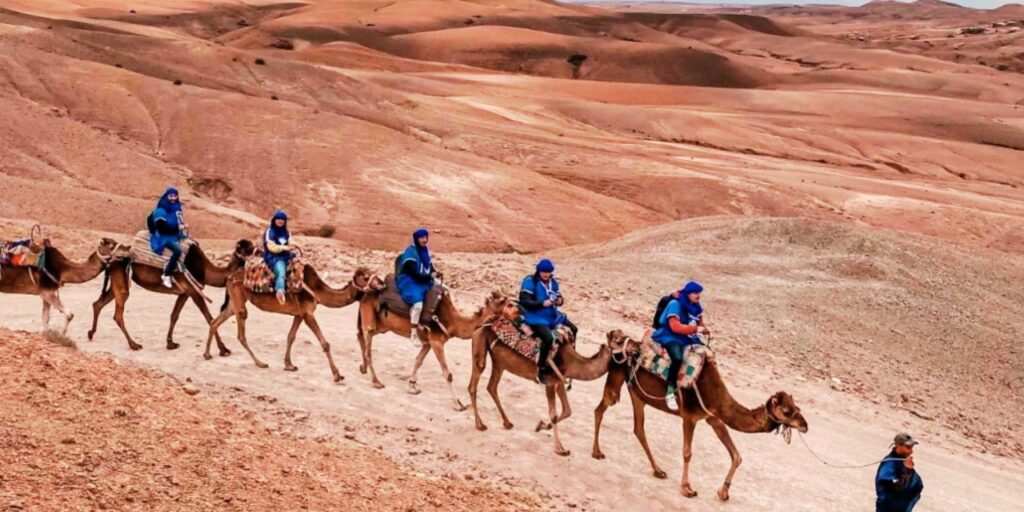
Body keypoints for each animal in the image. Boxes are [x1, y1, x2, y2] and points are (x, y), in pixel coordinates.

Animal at [87, 238, 256, 352]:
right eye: (249, 249)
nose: (259, 255)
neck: (205, 270)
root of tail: (110, 258)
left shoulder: (185, 292)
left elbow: (174, 315)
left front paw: (170, 343)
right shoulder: (193, 290)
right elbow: (209, 317)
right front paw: (223, 349)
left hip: (116, 280)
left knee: (98, 303)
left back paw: (91, 333)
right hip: (121, 278)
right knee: (117, 314)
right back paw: (134, 344)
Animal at [204, 264, 376, 380]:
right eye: (366, 277)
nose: (380, 284)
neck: (317, 291)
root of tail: (229, 277)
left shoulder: (299, 314)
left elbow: (291, 337)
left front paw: (289, 365)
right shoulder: (308, 314)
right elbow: (325, 343)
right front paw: (337, 374)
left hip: (234, 301)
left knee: (215, 321)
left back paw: (207, 354)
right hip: (239, 299)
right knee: (241, 332)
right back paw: (260, 363)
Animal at [356, 288, 507, 411]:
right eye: (503, 304)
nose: (511, 320)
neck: (453, 321)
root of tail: (365, 294)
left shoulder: (428, 343)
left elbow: (418, 361)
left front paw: (412, 387)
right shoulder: (436, 342)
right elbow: (448, 374)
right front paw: (458, 404)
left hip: (383, 326)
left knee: (361, 335)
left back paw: (363, 367)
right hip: (370, 317)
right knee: (367, 344)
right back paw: (376, 381)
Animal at [468, 319, 626, 456]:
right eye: (618, 340)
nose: (633, 349)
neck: (571, 362)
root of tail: (481, 326)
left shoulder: (559, 382)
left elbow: (567, 411)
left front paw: (542, 426)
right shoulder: (549, 383)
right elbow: (554, 414)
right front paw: (560, 449)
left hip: (499, 363)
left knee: (491, 387)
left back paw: (507, 423)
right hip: (480, 346)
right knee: (473, 385)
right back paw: (480, 425)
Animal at [593, 329, 806, 501]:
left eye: (798, 408)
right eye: (787, 411)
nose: (805, 425)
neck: (715, 393)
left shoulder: (713, 417)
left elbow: (736, 455)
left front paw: (723, 492)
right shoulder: (689, 416)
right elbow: (687, 453)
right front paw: (687, 489)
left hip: (637, 393)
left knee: (639, 428)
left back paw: (658, 470)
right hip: (616, 376)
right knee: (600, 409)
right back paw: (597, 452)